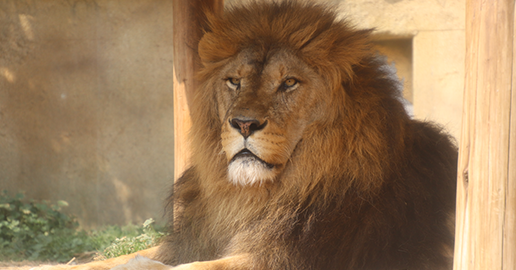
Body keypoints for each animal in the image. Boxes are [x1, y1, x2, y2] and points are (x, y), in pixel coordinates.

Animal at [38, 2, 458, 270]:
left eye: (289, 83)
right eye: (234, 81)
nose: (242, 124)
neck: (246, 198)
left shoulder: (286, 258)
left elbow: (192, 268)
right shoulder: (193, 238)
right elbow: (109, 260)